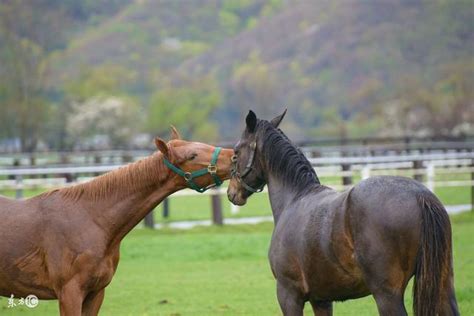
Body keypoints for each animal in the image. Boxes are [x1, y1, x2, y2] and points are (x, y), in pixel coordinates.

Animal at [228, 110, 458, 314]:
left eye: (236, 153)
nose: (232, 193)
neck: (295, 198)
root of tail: (420, 196)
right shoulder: (321, 299)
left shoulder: (289, 295)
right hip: (443, 286)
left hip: (386, 295)